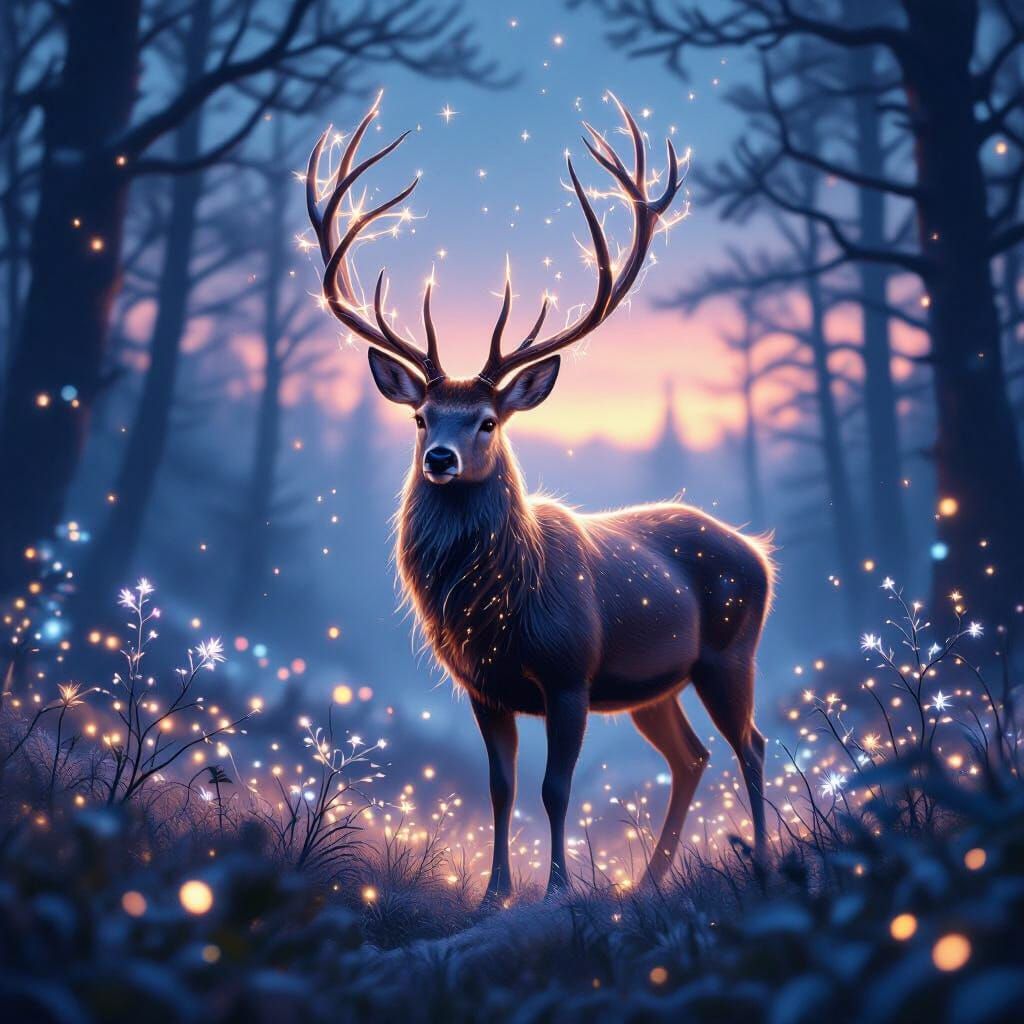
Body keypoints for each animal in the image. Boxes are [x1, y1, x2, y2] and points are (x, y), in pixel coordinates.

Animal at [305, 93, 774, 901]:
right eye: (422, 416)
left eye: (488, 421)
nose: (439, 458)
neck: (498, 611)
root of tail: (761, 554)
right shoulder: (482, 686)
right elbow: (501, 788)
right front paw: (496, 892)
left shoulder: (569, 671)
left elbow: (558, 788)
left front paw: (555, 889)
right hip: (656, 685)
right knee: (690, 756)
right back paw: (648, 882)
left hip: (728, 651)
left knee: (751, 744)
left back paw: (771, 863)